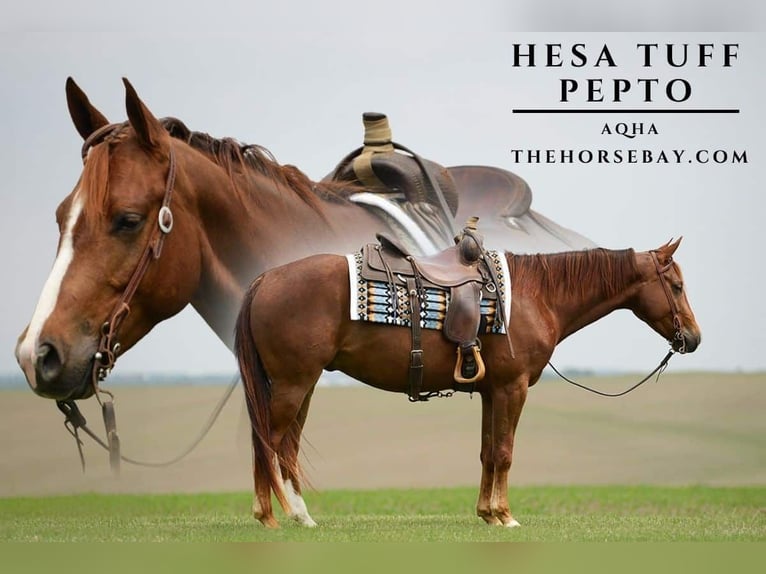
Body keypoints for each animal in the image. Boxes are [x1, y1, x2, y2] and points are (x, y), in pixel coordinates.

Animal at [234, 238, 701, 528]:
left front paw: (487, 513)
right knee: (267, 443)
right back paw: (269, 516)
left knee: (286, 448)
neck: (535, 296)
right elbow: (505, 453)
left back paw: (301, 515)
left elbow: (487, 453)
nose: (693, 339)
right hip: (292, 383)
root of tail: (265, 278)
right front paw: (506, 515)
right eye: (677, 285)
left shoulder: (492, 392)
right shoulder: (513, 388)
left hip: (303, 385)